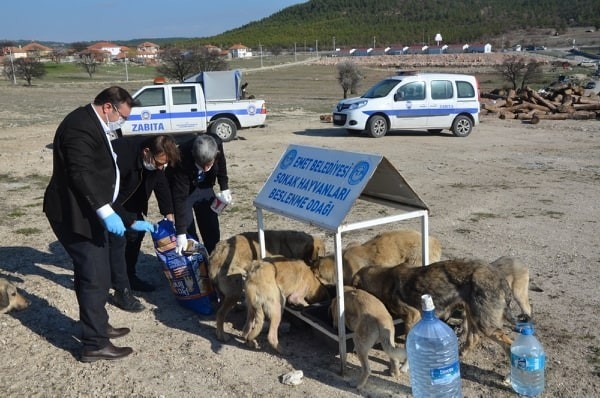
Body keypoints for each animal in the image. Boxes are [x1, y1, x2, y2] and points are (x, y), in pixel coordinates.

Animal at [352, 260, 516, 360]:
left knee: (508, 344)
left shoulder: (413, 315)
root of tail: (501, 279)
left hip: (485, 324)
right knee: (473, 338)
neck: (384, 279)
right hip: (473, 315)